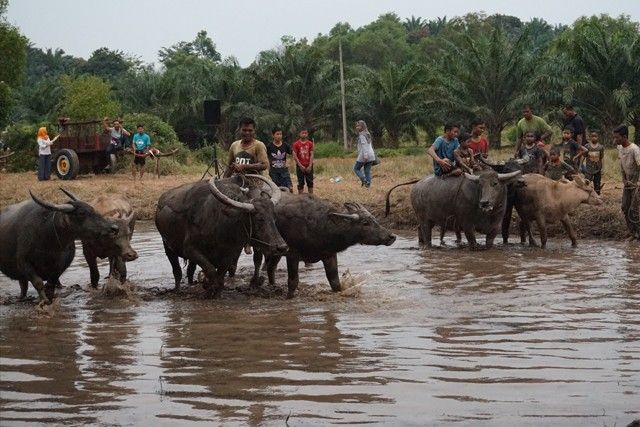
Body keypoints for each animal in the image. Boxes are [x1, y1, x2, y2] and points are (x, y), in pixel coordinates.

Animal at [155, 172, 288, 296]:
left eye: (274, 217)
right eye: (259, 219)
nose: (281, 247)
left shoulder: (231, 253)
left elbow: (221, 275)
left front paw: (215, 290)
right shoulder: (190, 250)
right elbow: (210, 270)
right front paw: (208, 286)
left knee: (190, 270)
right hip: (168, 247)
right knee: (177, 271)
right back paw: (178, 290)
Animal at [245, 196, 396, 300]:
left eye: (374, 219)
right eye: (365, 222)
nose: (391, 236)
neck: (319, 226)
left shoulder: (329, 255)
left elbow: (335, 283)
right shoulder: (292, 254)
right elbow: (293, 282)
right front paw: (289, 297)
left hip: (276, 251)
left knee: (271, 268)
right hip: (261, 248)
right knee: (259, 262)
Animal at [384, 171, 520, 251]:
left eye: (495, 183)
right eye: (480, 185)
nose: (484, 202)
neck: (486, 214)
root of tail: (417, 185)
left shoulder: (495, 226)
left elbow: (489, 243)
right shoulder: (467, 225)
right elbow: (472, 242)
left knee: (419, 229)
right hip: (424, 219)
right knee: (426, 234)